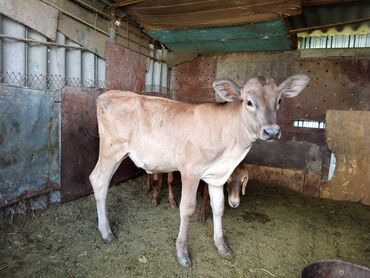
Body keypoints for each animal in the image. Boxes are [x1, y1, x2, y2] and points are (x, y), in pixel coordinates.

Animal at [89, 74, 310, 268]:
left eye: (279, 100)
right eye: (248, 102)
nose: (271, 132)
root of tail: (107, 95)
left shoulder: (217, 175)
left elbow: (219, 207)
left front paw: (221, 246)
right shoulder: (191, 171)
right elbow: (187, 210)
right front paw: (182, 253)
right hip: (111, 150)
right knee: (98, 180)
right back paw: (106, 232)